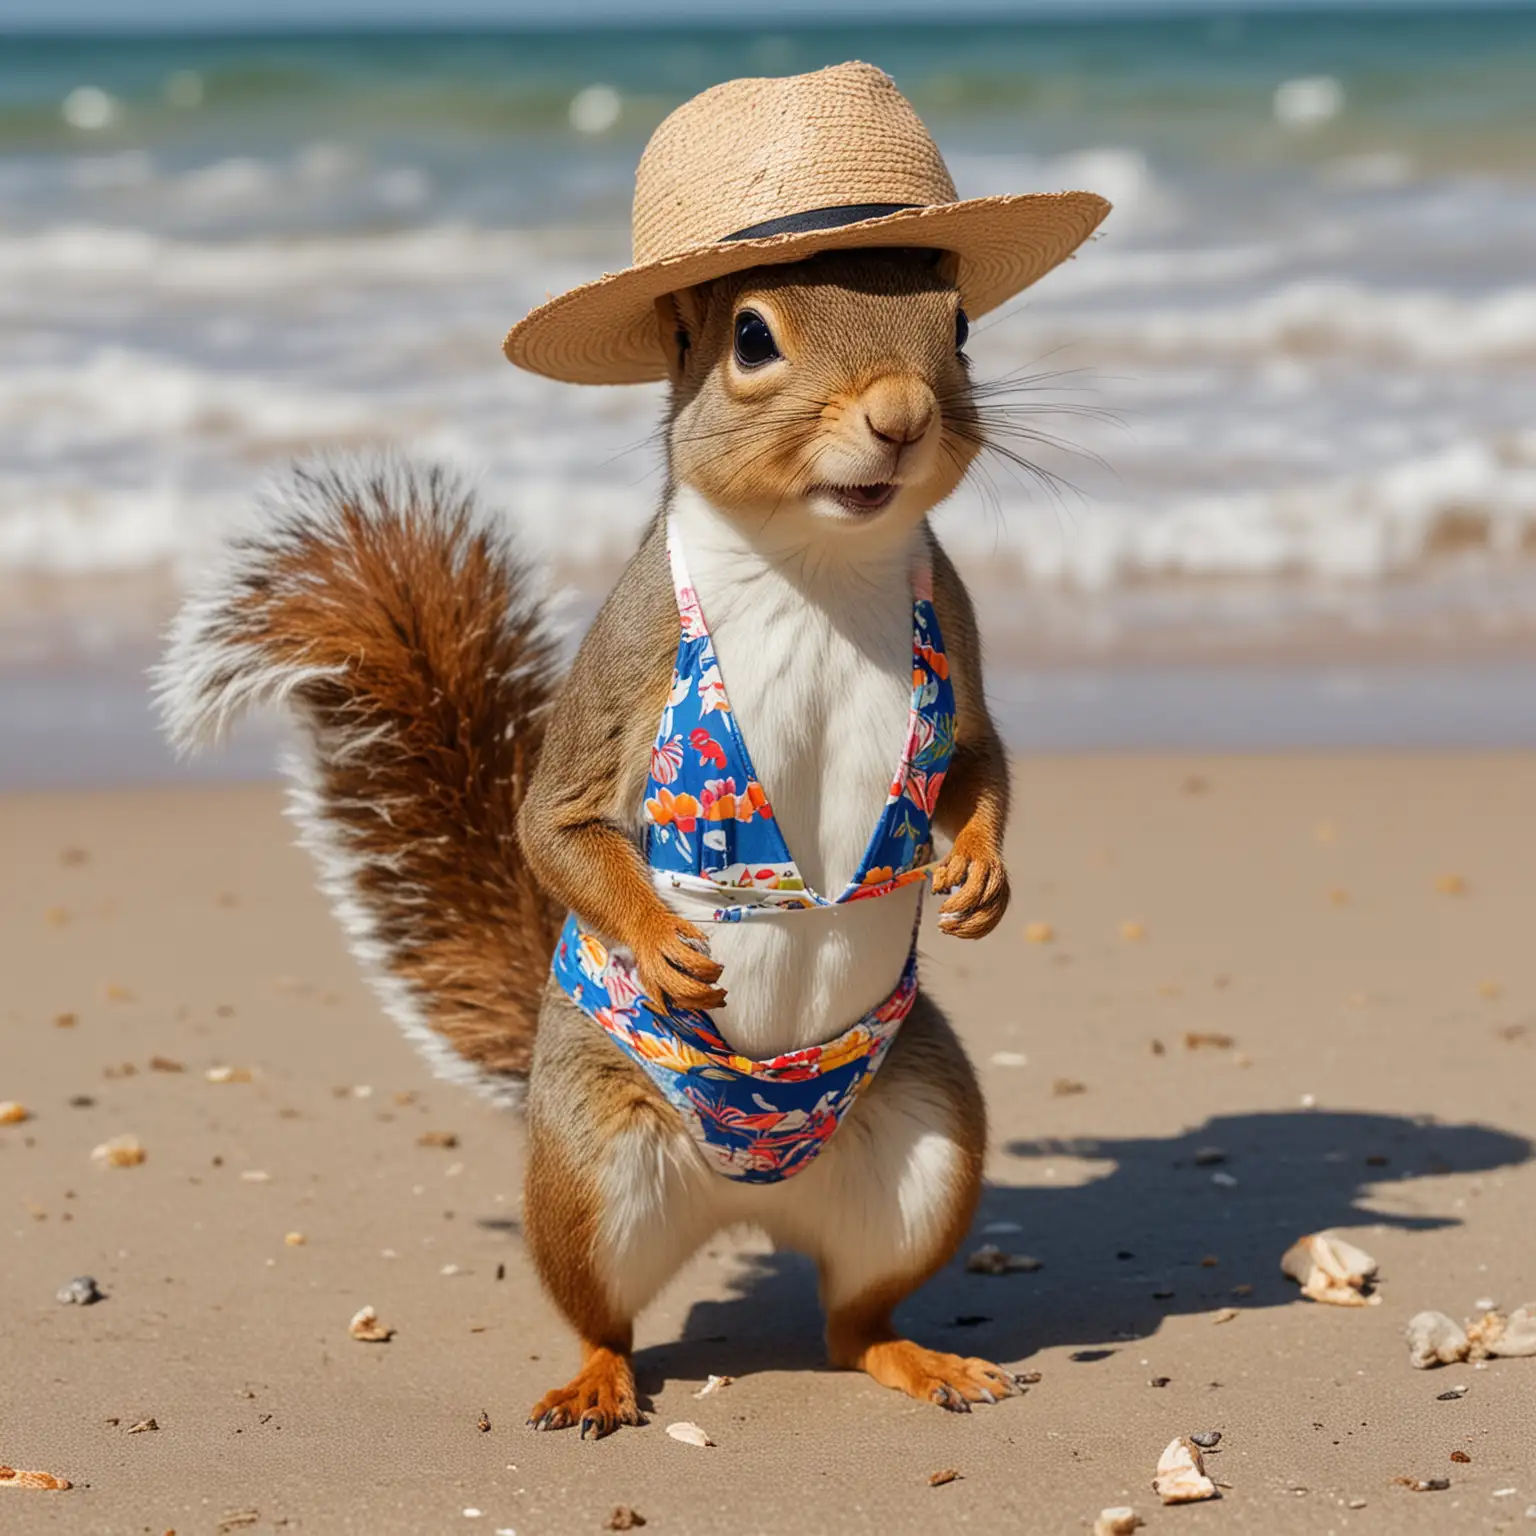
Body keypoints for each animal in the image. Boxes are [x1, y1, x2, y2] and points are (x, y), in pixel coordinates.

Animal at [158, 56, 1105, 1437]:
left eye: (963, 327)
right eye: (752, 338)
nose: (900, 415)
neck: (818, 566)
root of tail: (754, 1202)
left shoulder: (963, 643)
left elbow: (979, 760)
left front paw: (979, 872)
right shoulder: (627, 661)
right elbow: (551, 824)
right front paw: (663, 940)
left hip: (929, 1145)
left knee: (853, 1320)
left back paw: (917, 1359)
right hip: (589, 1170)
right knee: (599, 1309)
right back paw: (596, 1381)